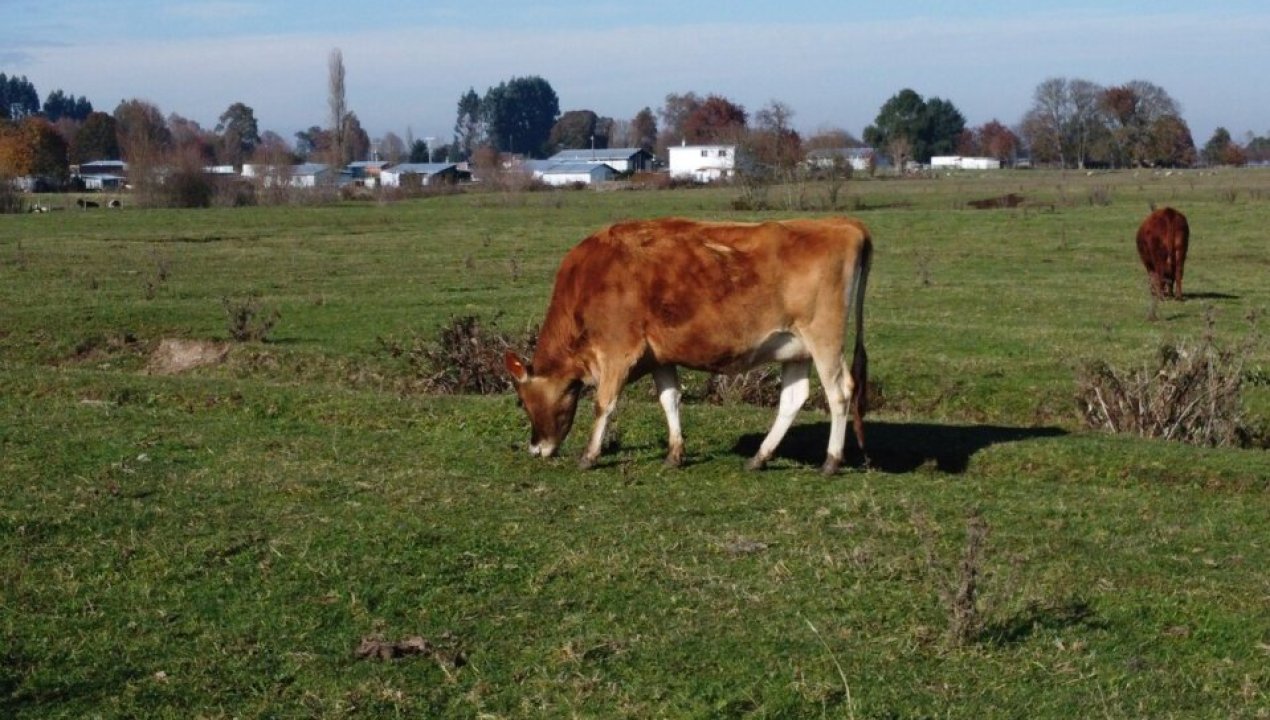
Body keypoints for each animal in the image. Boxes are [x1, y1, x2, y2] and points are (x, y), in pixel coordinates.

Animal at [505, 217, 873, 474]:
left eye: (522, 402)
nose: (535, 448)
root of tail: (842, 224)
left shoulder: (617, 352)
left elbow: (604, 404)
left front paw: (589, 455)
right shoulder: (659, 356)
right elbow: (669, 400)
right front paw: (674, 453)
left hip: (824, 339)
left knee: (840, 392)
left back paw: (831, 461)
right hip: (795, 348)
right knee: (794, 399)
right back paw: (760, 456)